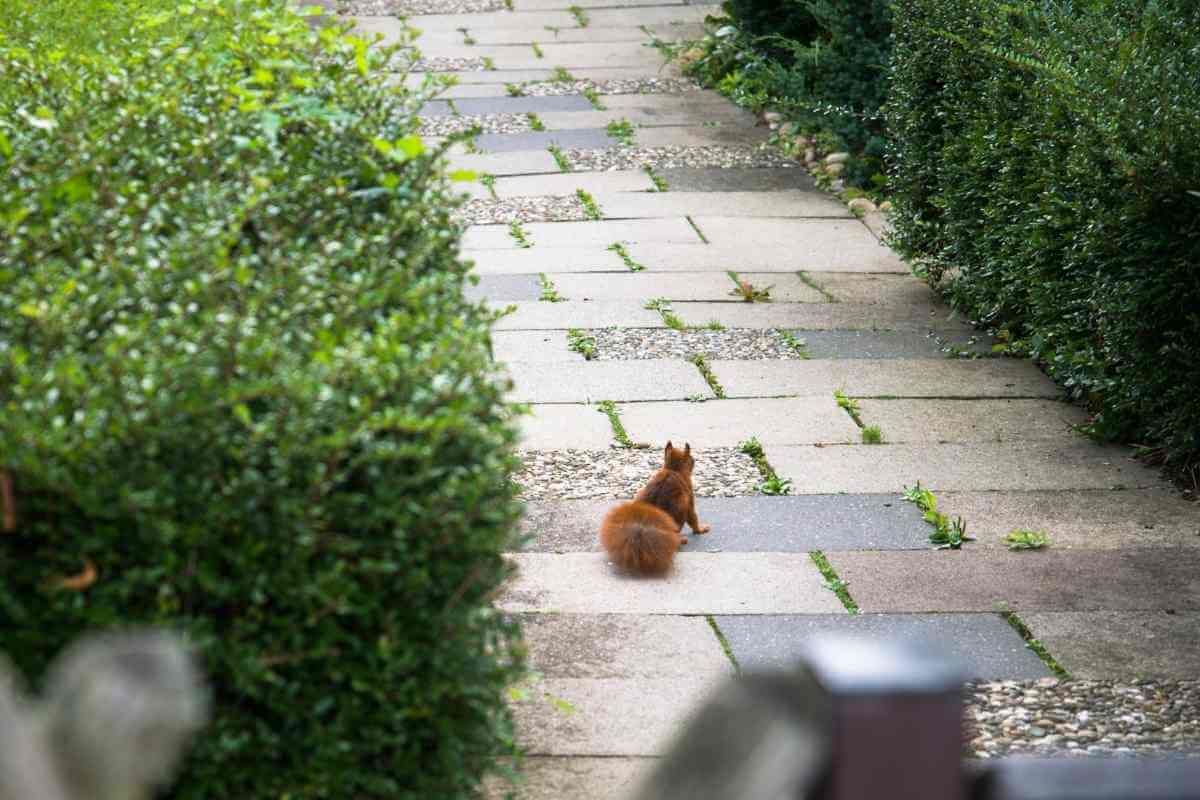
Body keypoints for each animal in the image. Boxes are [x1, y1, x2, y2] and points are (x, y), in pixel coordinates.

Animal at [599, 441, 711, 575]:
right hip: (681, 509)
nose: (695, 462)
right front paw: (701, 529)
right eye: (692, 459)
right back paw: (681, 540)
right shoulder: (689, 495)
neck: (673, 469)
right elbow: (693, 517)